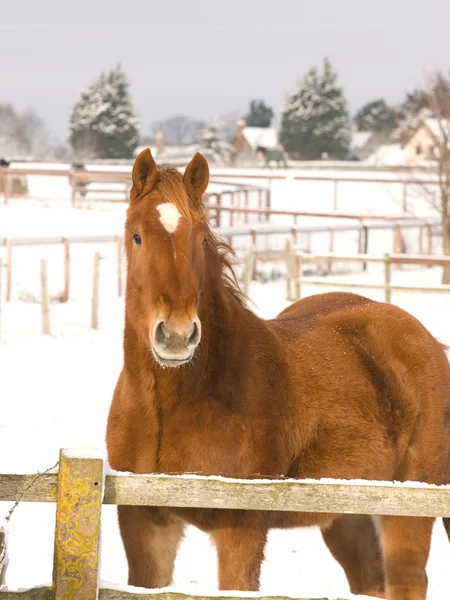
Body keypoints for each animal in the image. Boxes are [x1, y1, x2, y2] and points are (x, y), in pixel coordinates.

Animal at [107, 149, 450, 600]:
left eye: (201, 239)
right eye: (137, 236)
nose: (177, 335)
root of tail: (431, 343)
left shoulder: (241, 531)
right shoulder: (145, 525)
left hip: (408, 511)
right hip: (349, 516)